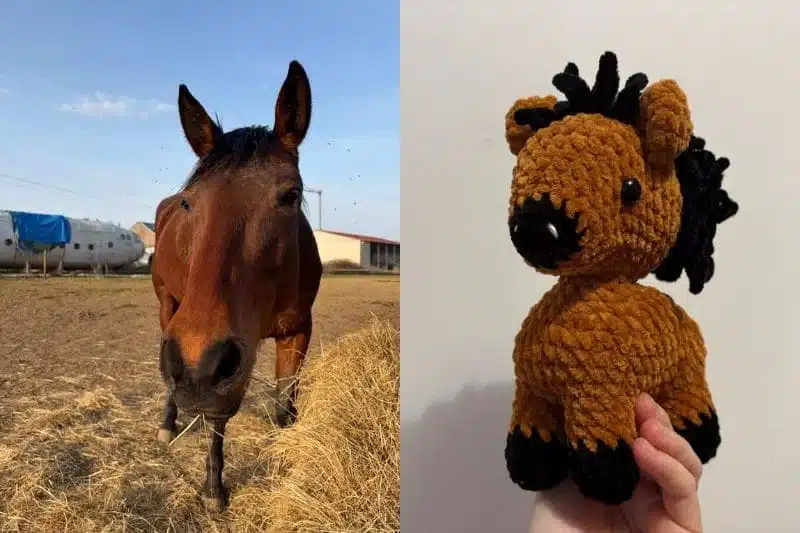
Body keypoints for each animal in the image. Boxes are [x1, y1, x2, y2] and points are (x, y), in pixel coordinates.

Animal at [150, 60, 322, 511]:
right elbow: (217, 416)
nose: (194, 362)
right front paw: (214, 487)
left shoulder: (297, 331)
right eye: (190, 203)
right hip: (169, 306)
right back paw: (168, 421)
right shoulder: (214, 363)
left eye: (290, 195)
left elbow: (285, 410)